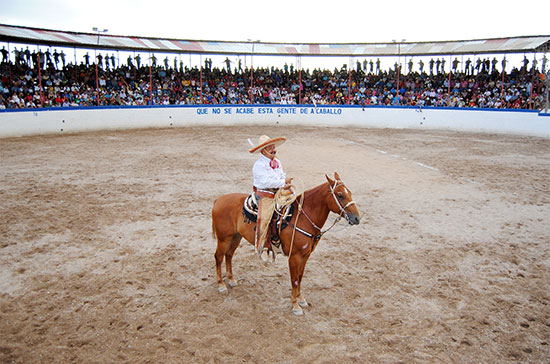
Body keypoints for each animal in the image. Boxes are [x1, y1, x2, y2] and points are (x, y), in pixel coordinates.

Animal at [211, 172, 362, 314]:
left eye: (350, 192)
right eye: (340, 195)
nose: (357, 218)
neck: (302, 218)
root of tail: (219, 199)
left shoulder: (306, 255)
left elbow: (300, 277)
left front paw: (301, 300)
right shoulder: (294, 257)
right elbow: (294, 280)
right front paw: (295, 306)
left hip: (236, 237)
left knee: (229, 255)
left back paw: (231, 279)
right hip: (224, 238)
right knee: (219, 256)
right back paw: (221, 285)